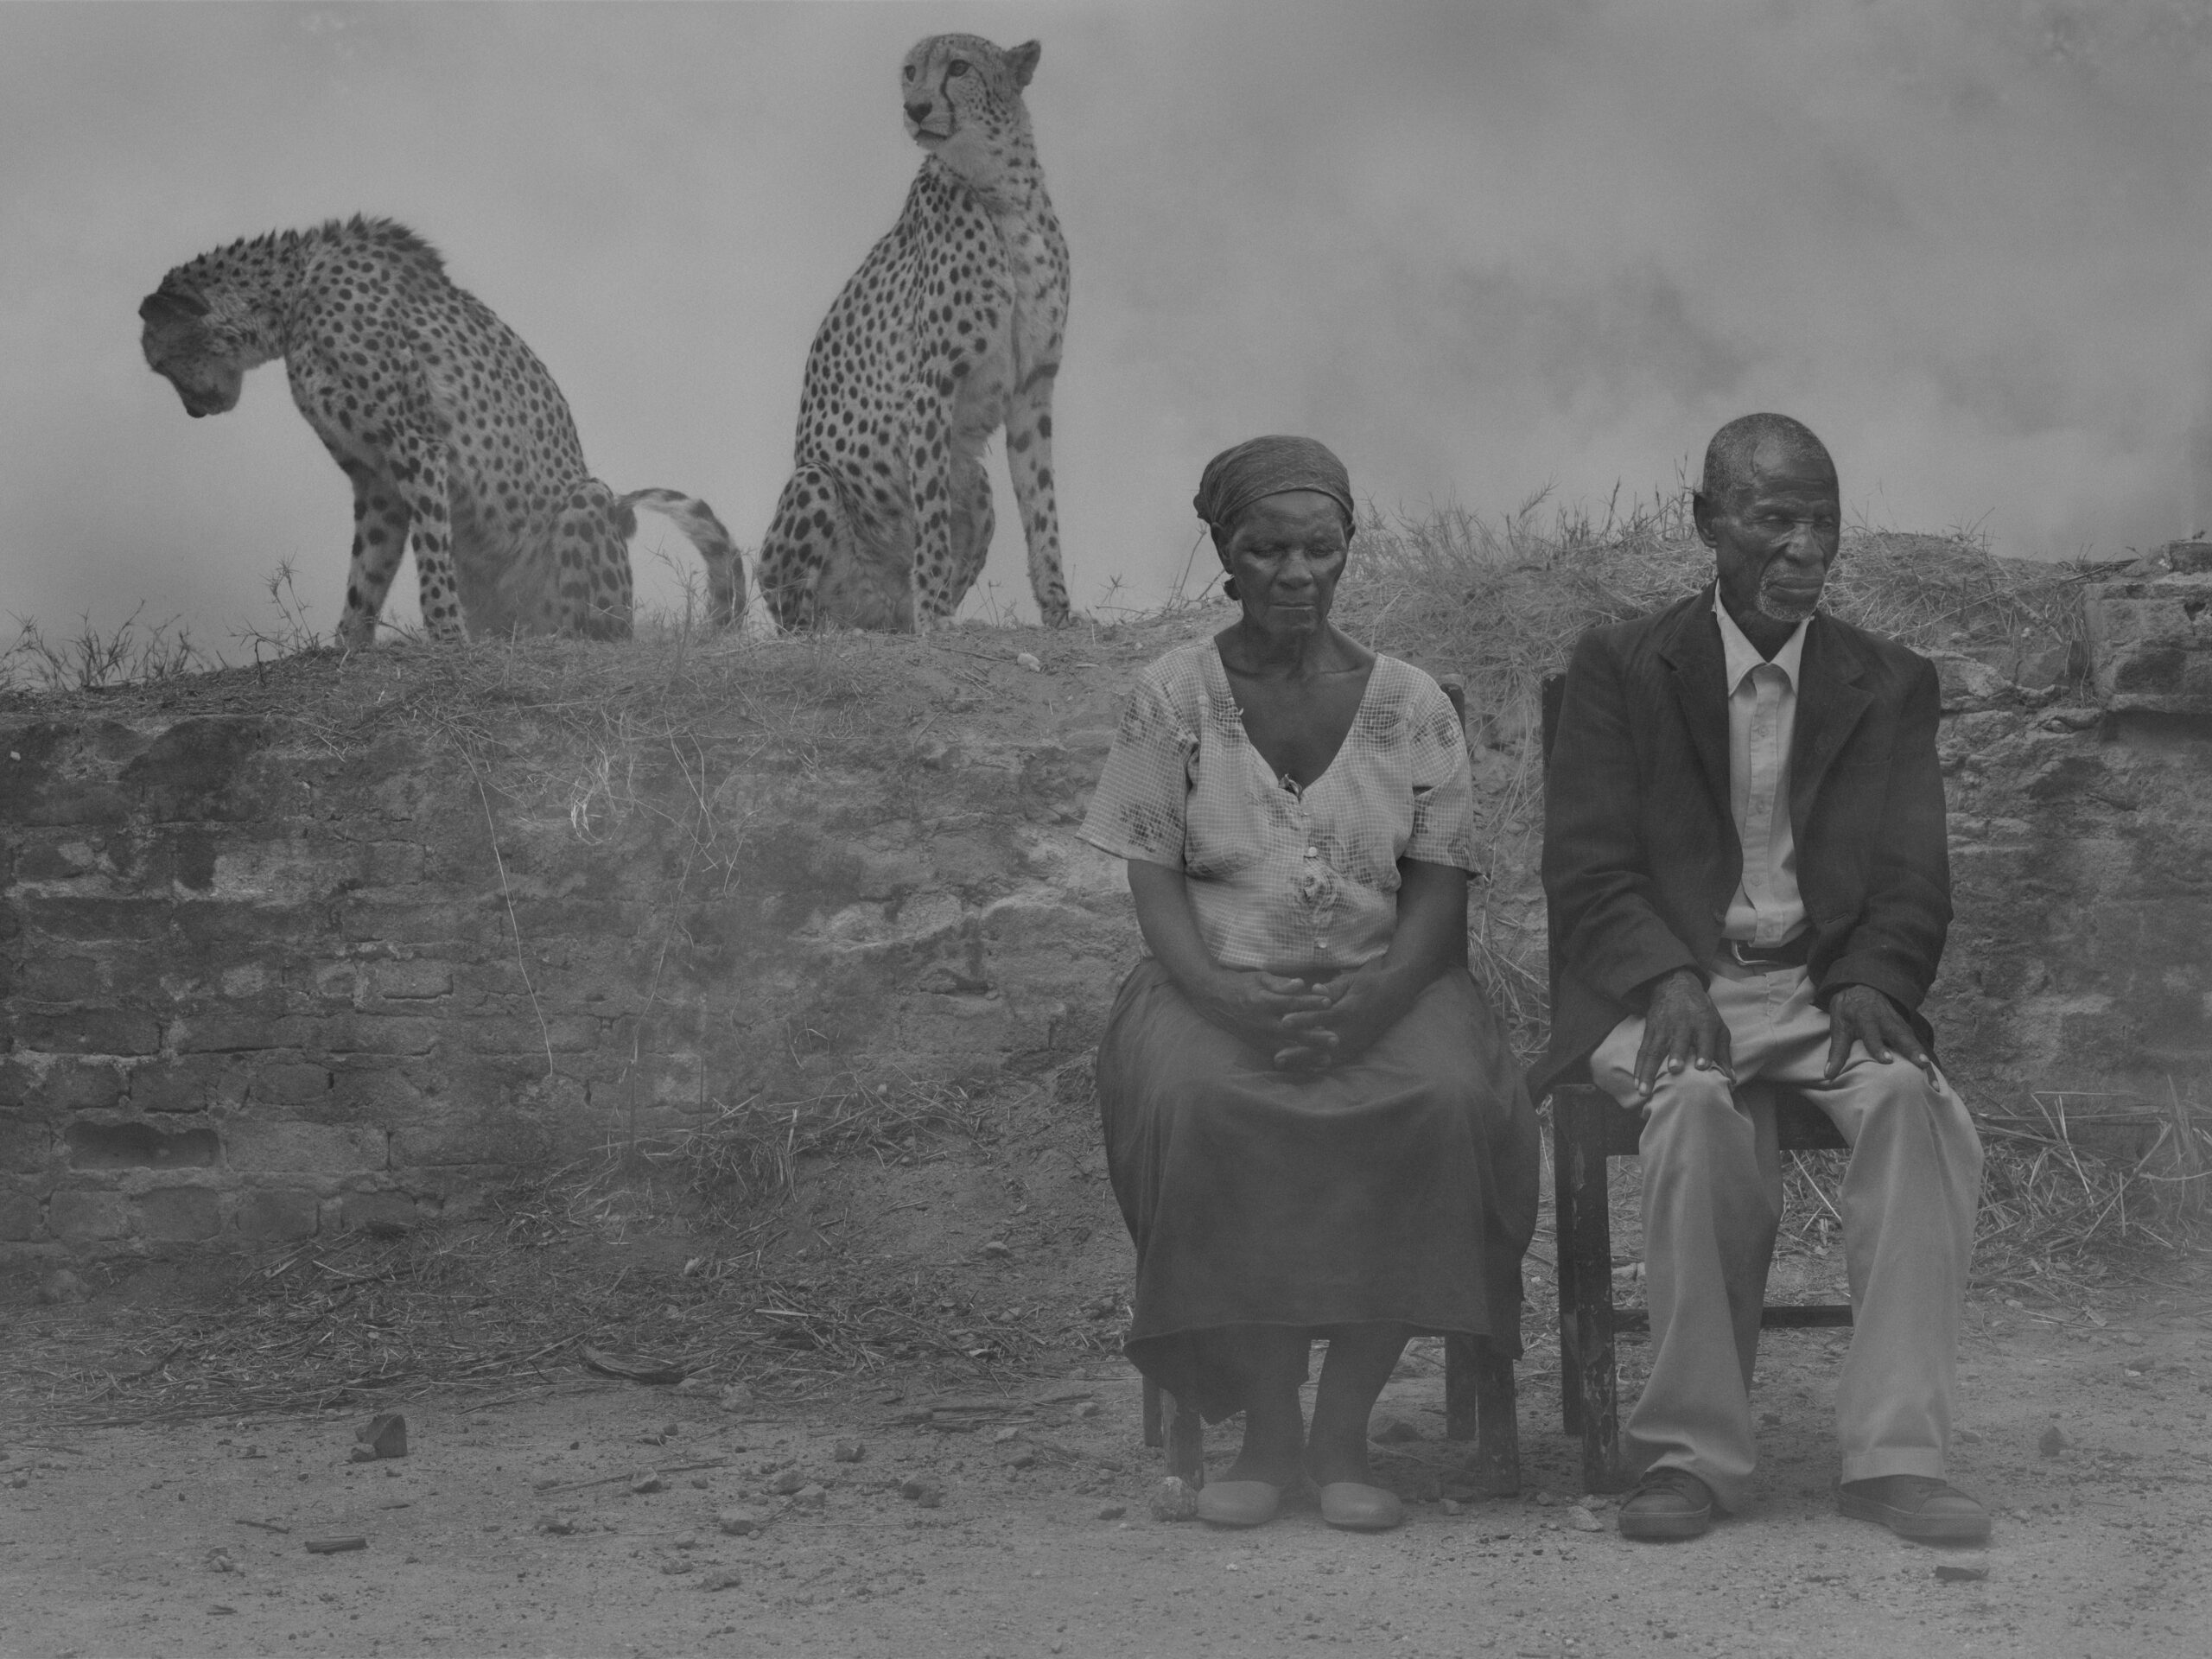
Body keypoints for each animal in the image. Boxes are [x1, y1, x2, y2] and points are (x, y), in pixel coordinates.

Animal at [140, 226, 743, 650]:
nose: (194, 412)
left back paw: (562, 638)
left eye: (159, 363)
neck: (291, 300)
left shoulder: (415, 444)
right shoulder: (376, 477)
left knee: (595, 630)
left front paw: (447, 635)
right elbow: (368, 566)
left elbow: (430, 548)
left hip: (589, 501)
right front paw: (347, 644)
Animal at [760, 41, 1071, 637]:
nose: (917, 108)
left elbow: (1042, 503)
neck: (1002, 189)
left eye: (959, 67)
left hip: (977, 487)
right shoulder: (932, 383)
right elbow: (930, 511)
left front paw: (1061, 611)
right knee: (796, 618)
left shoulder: (1034, 386)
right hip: (813, 483)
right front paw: (934, 614)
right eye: (909, 72)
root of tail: (877, 614)